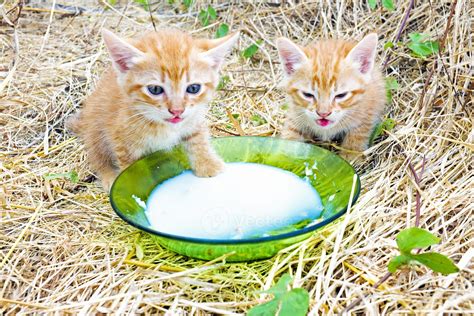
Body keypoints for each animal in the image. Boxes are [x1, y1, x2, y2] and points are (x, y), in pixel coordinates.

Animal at [68, 28, 239, 190]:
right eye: (155, 89)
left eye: (193, 88)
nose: (177, 111)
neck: (163, 126)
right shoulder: (121, 140)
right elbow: (131, 169)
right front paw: (131, 188)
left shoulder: (193, 117)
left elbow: (198, 138)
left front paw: (208, 165)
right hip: (96, 131)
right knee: (97, 156)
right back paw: (109, 175)